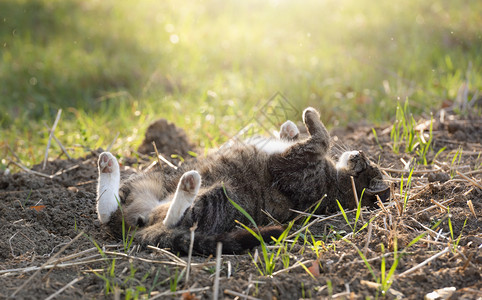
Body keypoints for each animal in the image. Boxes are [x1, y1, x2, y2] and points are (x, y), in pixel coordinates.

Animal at [96, 106, 390, 254]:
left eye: (367, 164)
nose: (359, 153)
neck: (338, 186)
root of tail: (130, 231)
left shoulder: (296, 162)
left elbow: (322, 136)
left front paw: (309, 115)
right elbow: (301, 136)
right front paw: (289, 128)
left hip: (216, 197)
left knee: (173, 219)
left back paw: (189, 185)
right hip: (150, 178)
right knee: (108, 211)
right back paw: (108, 166)